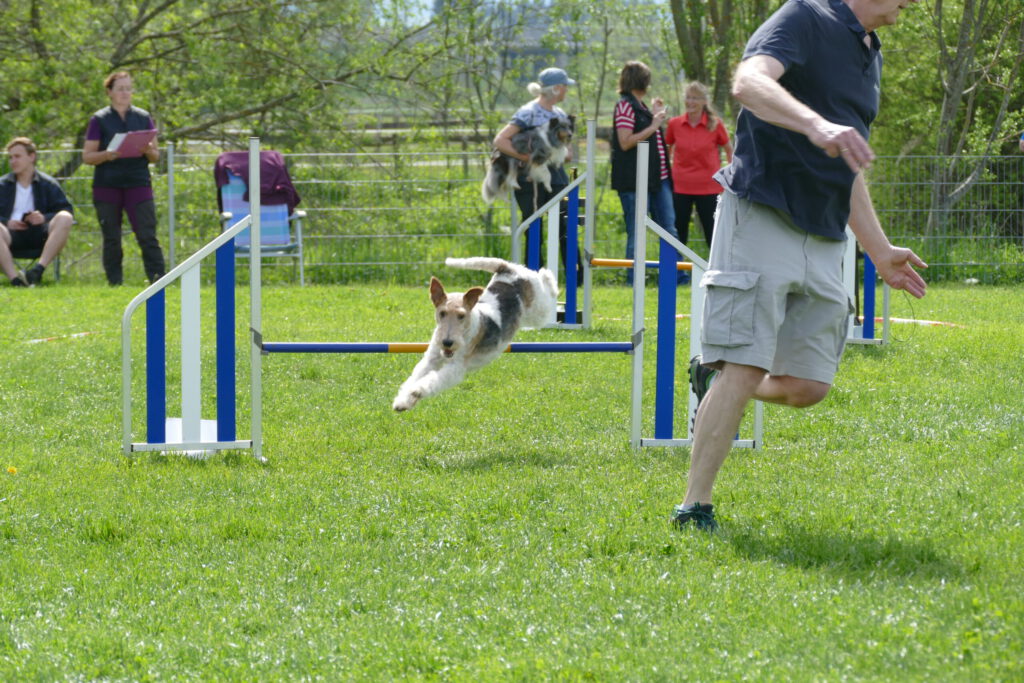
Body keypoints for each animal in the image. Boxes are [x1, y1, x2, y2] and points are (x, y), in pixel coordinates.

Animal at [392, 257, 558, 412]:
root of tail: (508, 269)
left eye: (461, 315)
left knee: (544, 279)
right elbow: (415, 377)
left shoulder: (456, 367)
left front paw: (416, 391)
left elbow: (431, 380)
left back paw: (549, 278)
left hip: (538, 311)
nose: (447, 342)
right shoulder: (431, 360)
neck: (468, 328)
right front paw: (402, 402)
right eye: (442, 313)